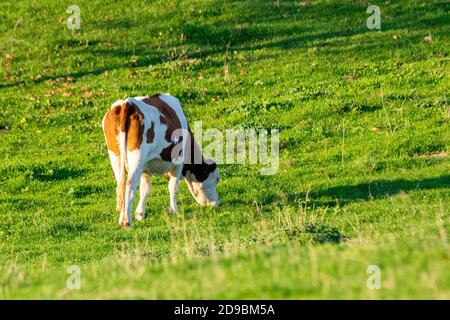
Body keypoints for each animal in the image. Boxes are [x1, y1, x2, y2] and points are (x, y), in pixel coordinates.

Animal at [102, 92, 221, 228]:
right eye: (217, 179)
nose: (216, 203)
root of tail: (128, 103)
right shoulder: (178, 163)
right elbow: (173, 186)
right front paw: (174, 210)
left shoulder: (145, 168)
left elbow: (145, 190)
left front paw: (140, 214)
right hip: (136, 157)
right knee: (129, 185)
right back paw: (127, 222)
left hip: (115, 156)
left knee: (120, 185)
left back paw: (122, 218)